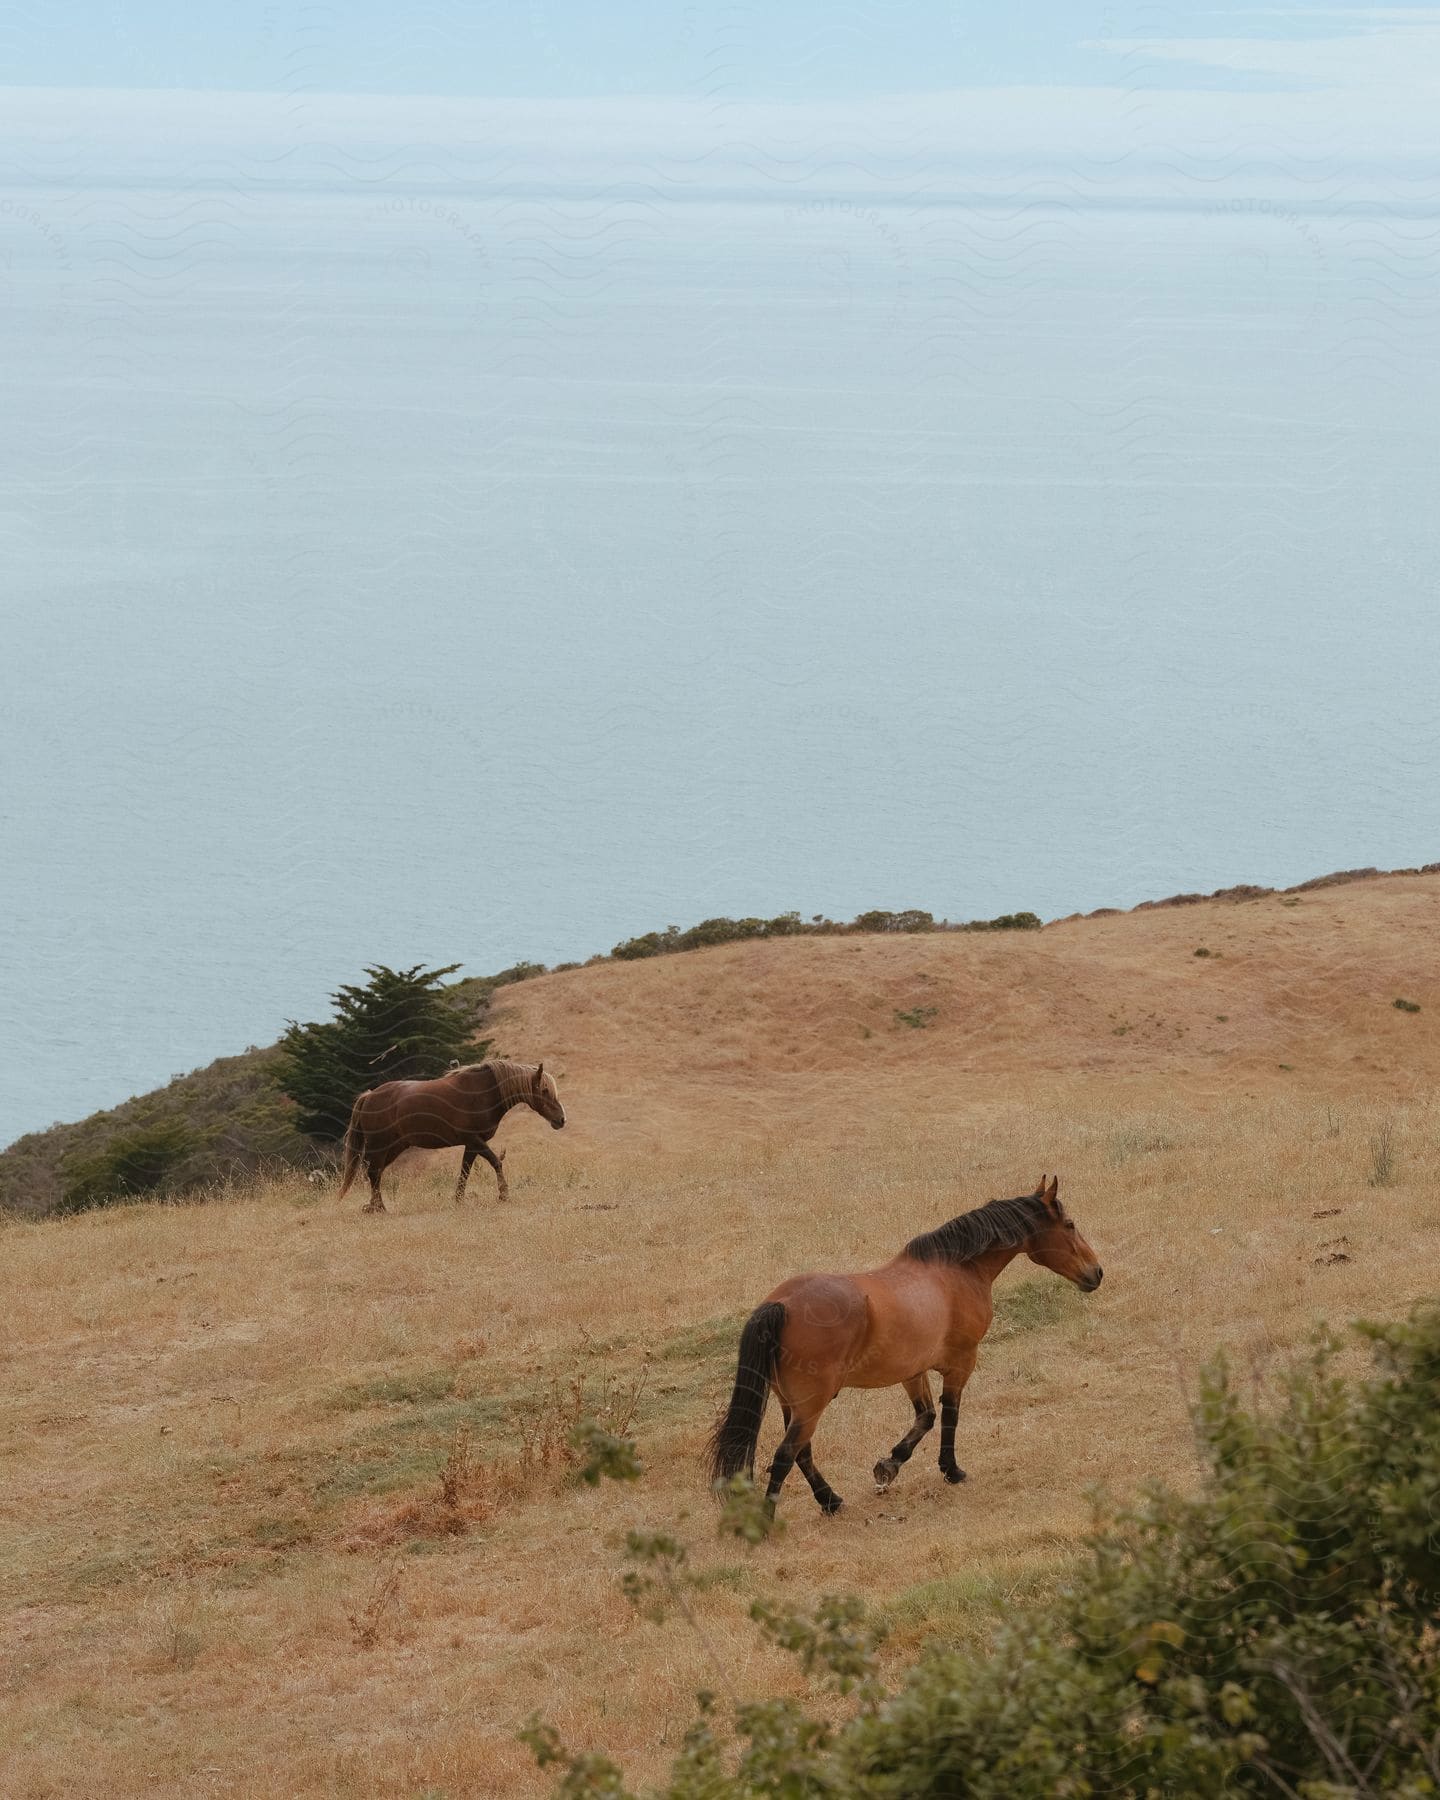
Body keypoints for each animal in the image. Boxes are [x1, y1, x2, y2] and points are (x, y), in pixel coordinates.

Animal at [334, 1058, 565, 1216]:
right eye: (544, 1090)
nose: (561, 1120)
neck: (483, 1092)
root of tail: (369, 1096)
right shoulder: (474, 1140)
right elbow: (496, 1162)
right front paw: (503, 1194)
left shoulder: (472, 1145)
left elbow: (465, 1171)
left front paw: (459, 1199)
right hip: (380, 1145)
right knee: (373, 1172)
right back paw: (379, 1207)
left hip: (395, 1147)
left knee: (376, 1172)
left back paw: (374, 1206)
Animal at [709, 1173, 1101, 1512]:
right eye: (1069, 1225)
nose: (1096, 1273)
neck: (955, 1271)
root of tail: (781, 1304)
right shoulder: (962, 1362)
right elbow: (950, 1414)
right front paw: (951, 1470)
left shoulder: (913, 1371)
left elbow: (925, 1416)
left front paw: (890, 1465)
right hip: (810, 1405)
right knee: (785, 1455)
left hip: (792, 1404)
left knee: (801, 1453)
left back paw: (830, 1500)